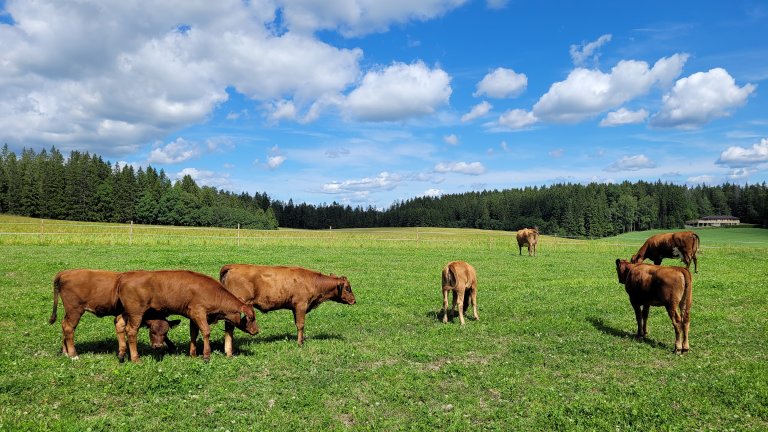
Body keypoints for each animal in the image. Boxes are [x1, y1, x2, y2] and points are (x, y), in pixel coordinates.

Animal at [48, 270, 179, 362]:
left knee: (64, 326)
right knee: (69, 328)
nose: (157, 346)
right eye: (152, 332)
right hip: (74, 310)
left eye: (166, 332)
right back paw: (73, 355)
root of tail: (66, 272)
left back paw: (65, 352)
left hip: (70, 312)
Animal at [117, 270, 260, 362]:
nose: (257, 331)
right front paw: (206, 356)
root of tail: (125, 276)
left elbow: (193, 334)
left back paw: (122, 354)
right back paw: (135, 358)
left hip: (127, 313)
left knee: (120, 325)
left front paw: (193, 354)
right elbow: (206, 332)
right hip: (136, 314)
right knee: (131, 331)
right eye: (251, 318)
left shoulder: (192, 317)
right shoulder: (199, 313)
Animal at [219, 262, 356, 352]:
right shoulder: (301, 305)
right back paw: (229, 351)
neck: (313, 281)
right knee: (229, 327)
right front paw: (300, 343)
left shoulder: (295, 308)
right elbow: (300, 325)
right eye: (348, 288)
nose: (354, 301)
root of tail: (233, 266)